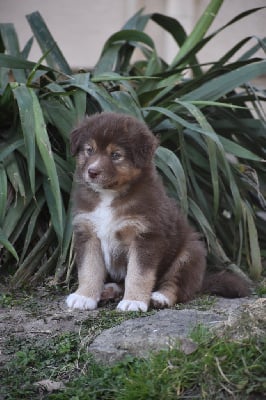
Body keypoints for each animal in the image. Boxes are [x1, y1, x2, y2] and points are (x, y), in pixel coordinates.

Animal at [65, 112, 250, 312]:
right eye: (89, 150)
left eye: (116, 155)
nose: (92, 172)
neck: (110, 195)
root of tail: (201, 281)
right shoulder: (87, 232)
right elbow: (89, 268)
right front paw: (84, 297)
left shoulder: (146, 236)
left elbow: (138, 274)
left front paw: (134, 301)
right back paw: (109, 289)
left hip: (190, 253)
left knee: (177, 285)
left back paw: (159, 297)